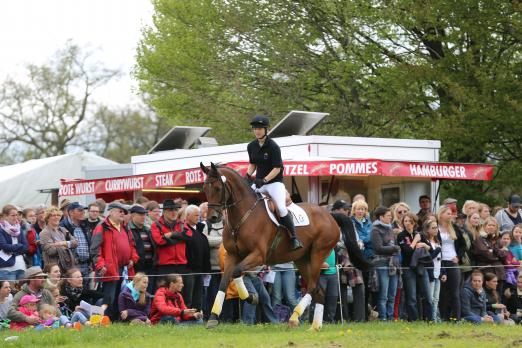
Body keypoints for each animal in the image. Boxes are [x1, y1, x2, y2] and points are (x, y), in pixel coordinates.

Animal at [198, 162, 338, 330]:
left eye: (218, 188)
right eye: (205, 189)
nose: (212, 218)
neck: (243, 215)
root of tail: (330, 216)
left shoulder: (258, 255)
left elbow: (237, 272)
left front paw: (251, 297)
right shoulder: (232, 255)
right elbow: (225, 281)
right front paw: (213, 317)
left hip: (318, 253)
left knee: (311, 286)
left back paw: (294, 318)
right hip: (302, 259)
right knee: (318, 289)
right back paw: (315, 327)